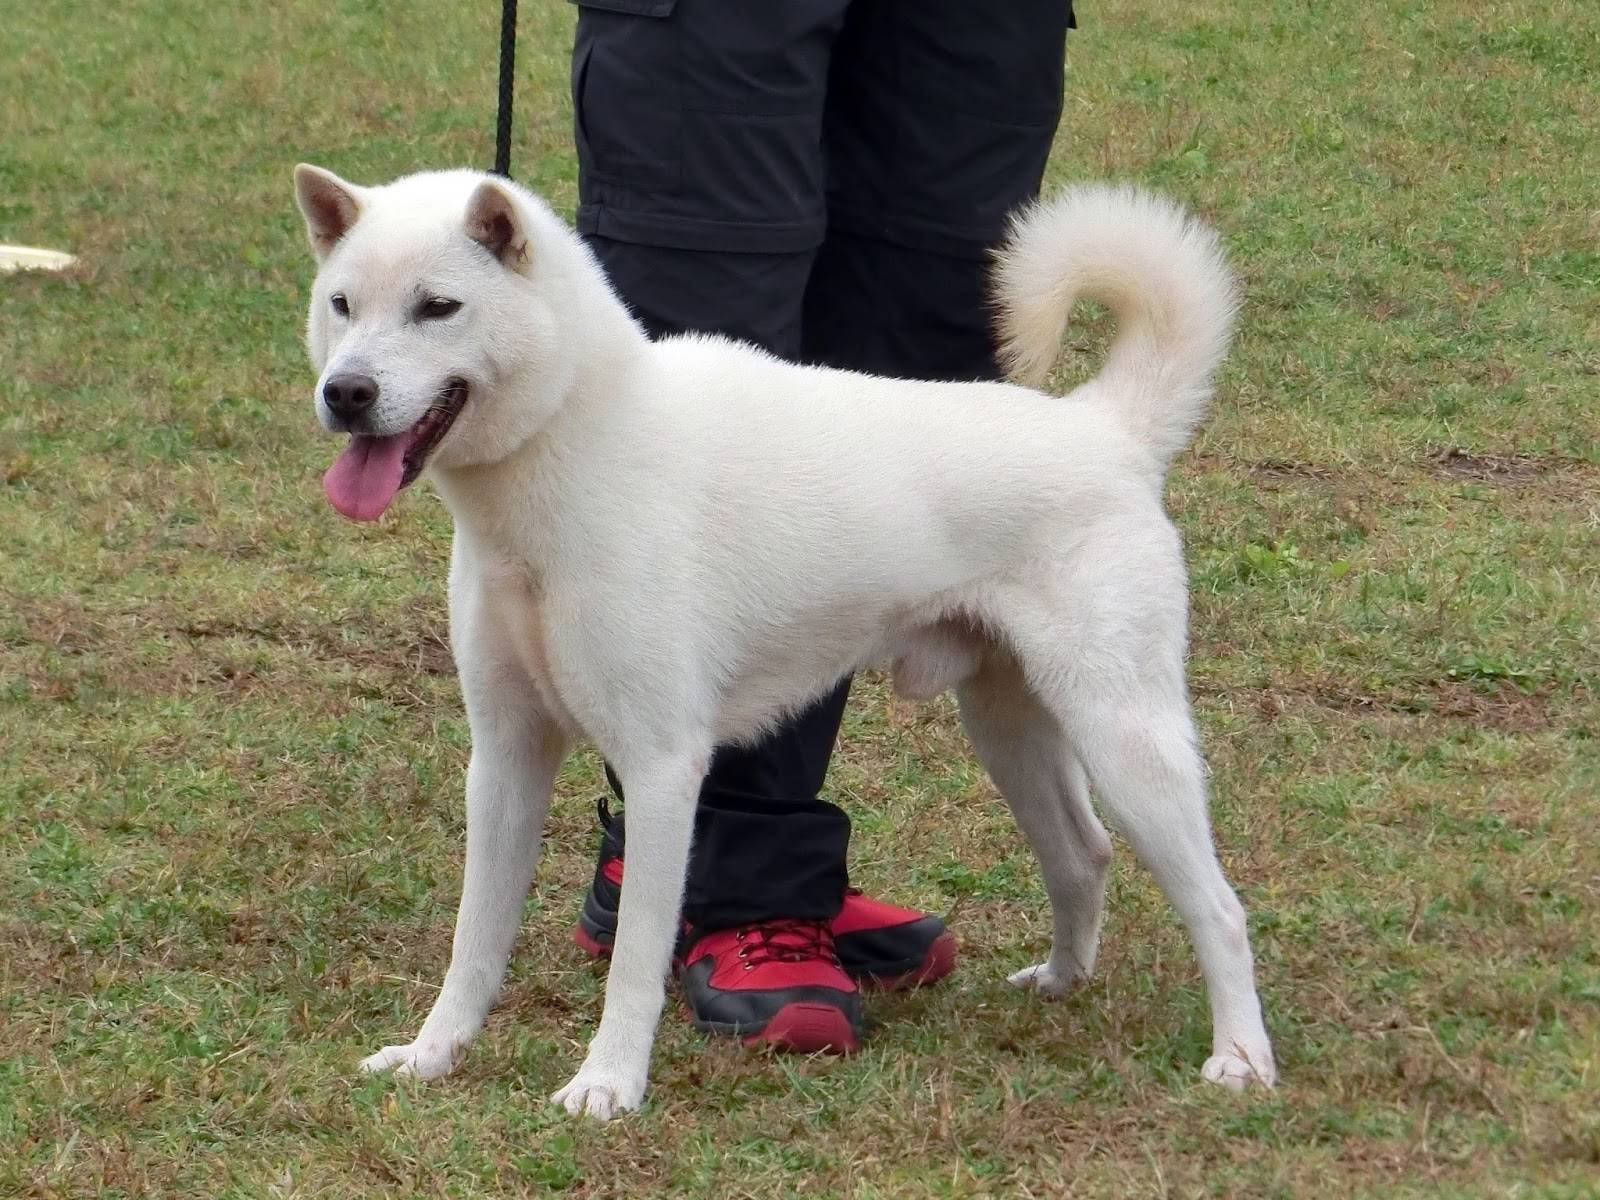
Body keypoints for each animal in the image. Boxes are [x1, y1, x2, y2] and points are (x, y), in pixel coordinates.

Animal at [294, 162, 1280, 1120]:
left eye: (438, 307)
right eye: (342, 304)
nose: (345, 394)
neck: (574, 448)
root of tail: (1106, 429)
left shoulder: (663, 769)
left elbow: (634, 964)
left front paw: (608, 1086)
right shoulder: (505, 759)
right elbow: (473, 945)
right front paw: (432, 1055)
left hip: (1125, 738)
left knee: (1221, 910)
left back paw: (1241, 1059)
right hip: (1012, 731)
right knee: (1083, 855)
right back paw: (1063, 984)